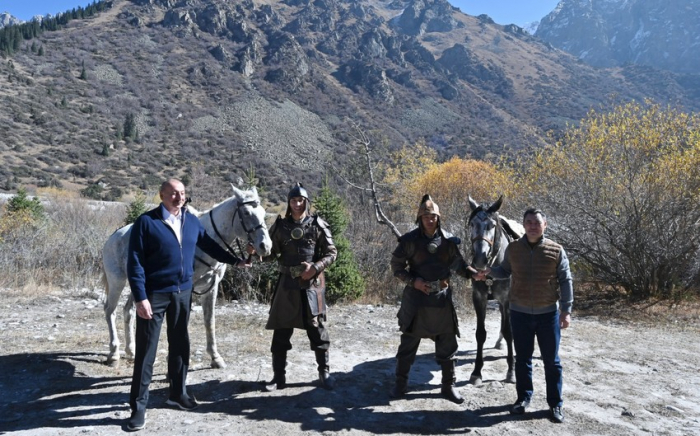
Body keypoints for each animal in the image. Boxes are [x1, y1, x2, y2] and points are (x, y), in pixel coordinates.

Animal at [102, 186, 272, 368]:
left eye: (263, 212)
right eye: (246, 213)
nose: (266, 246)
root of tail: (114, 236)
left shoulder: (211, 288)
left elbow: (209, 321)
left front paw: (215, 357)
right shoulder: (186, 290)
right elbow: (182, 321)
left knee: (129, 310)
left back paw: (131, 351)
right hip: (117, 281)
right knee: (110, 311)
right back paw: (114, 354)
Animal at [468, 196, 524, 384]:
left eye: (492, 225)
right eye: (472, 224)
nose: (480, 259)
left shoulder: (507, 299)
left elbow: (509, 332)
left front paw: (511, 371)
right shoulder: (479, 298)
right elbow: (480, 334)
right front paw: (476, 372)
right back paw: (499, 342)